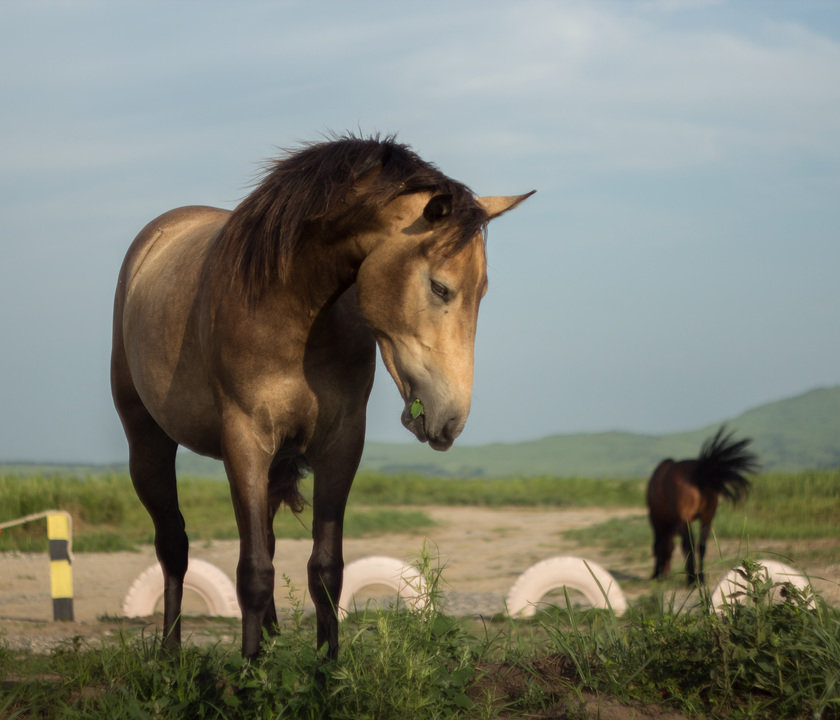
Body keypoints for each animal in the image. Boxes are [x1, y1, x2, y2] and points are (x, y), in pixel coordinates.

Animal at [110, 135, 532, 660]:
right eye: (439, 287)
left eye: (483, 291)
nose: (451, 419)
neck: (290, 306)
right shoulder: (244, 442)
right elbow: (252, 571)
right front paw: (251, 669)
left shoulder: (341, 443)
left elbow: (325, 569)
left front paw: (325, 667)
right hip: (148, 443)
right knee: (174, 545)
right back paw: (171, 653)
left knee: (264, 541)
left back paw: (269, 639)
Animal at [648, 428, 756, 584]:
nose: (664, 574)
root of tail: (700, 473)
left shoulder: (657, 520)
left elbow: (659, 546)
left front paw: (656, 573)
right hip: (707, 518)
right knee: (702, 546)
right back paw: (701, 577)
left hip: (685, 520)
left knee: (690, 545)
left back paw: (691, 579)